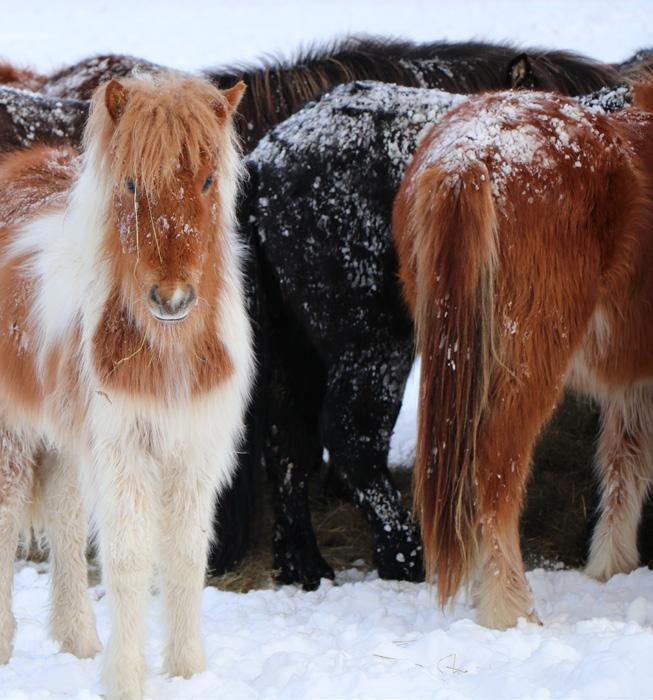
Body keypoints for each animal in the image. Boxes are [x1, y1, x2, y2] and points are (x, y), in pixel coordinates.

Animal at [0, 72, 251, 700]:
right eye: (132, 182)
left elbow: (186, 555)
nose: (172, 298)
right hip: (13, 433)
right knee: (7, 520)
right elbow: (130, 559)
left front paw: (186, 671)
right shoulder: (124, 450)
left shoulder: (194, 449)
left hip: (64, 441)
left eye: (208, 180)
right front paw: (125, 679)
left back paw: (78, 641)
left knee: (64, 516)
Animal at [392, 80, 652, 628]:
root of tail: (467, 155)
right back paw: (508, 609)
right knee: (494, 470)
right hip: (529, 357)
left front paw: (610, 566)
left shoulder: (633, 379)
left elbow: (625, 458)